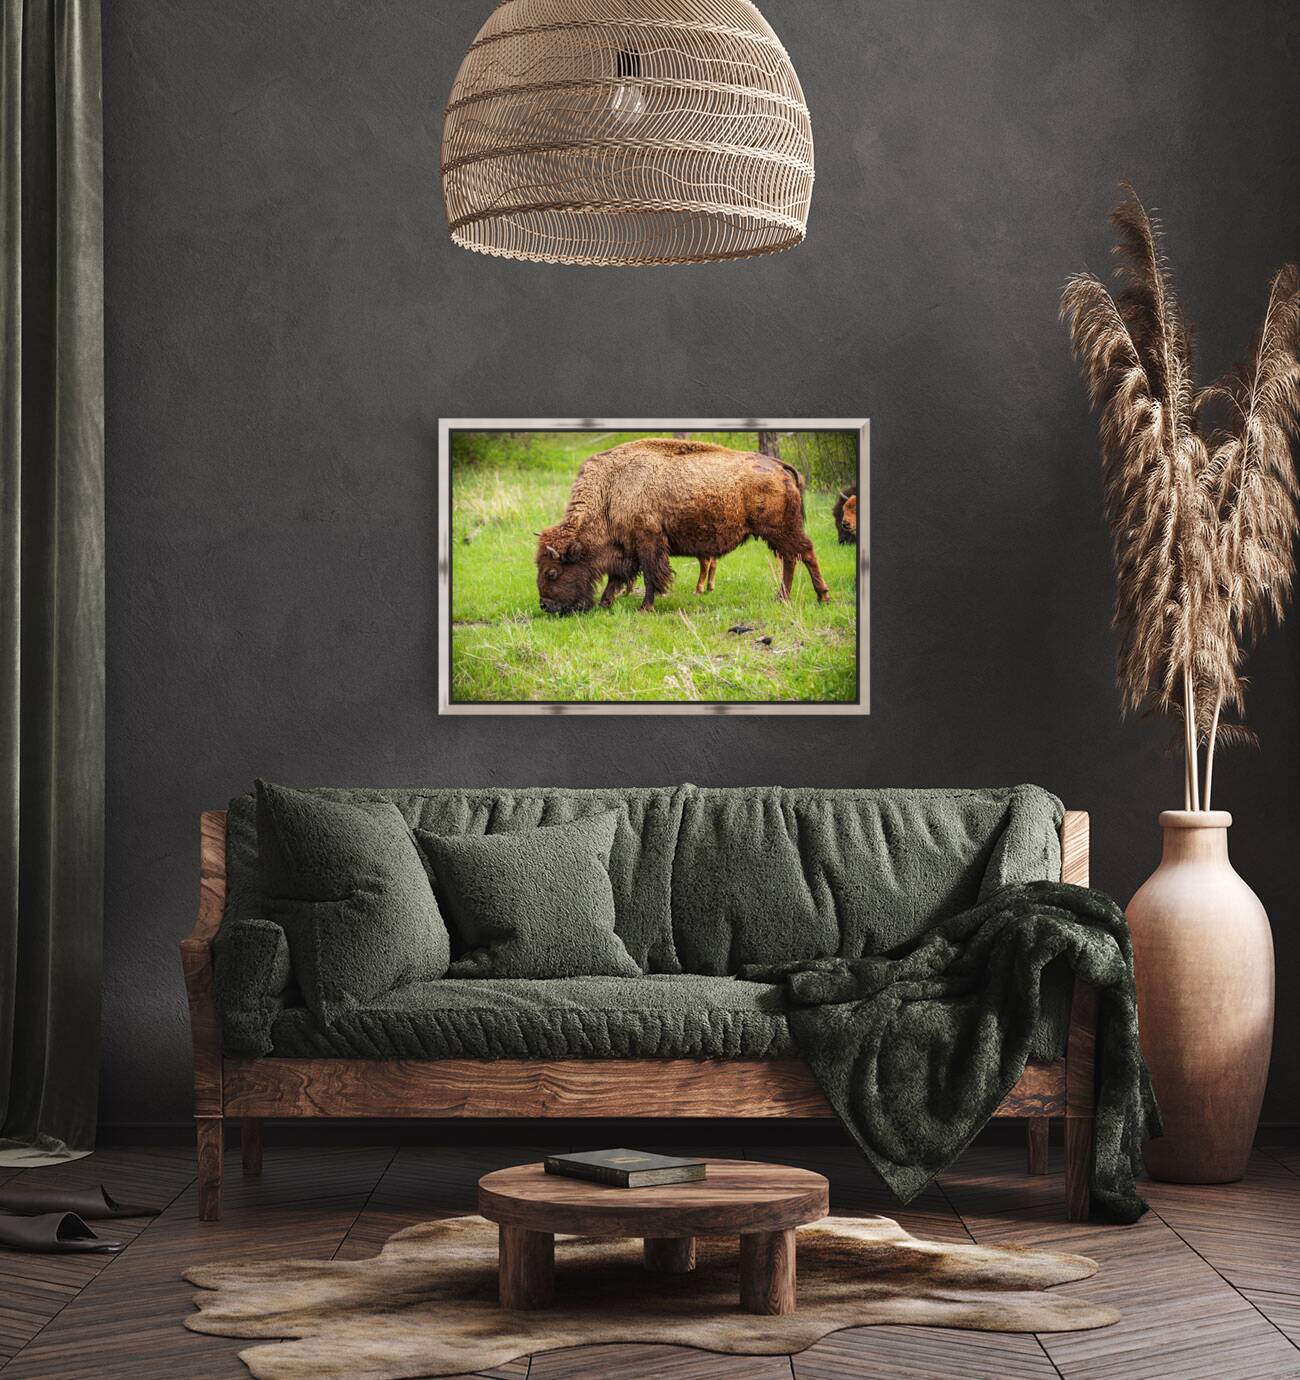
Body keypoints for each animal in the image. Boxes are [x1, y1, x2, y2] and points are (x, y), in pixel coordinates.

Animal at [536, 439, 830, 614]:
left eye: (552, 572)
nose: (545, 606)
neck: (610, 490)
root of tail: (779, 466)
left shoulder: (648, 543)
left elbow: (652, 576)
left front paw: (645, 607)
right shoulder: (628, 549)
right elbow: (618, 577)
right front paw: (606, 602)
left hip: (781, 530)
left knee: (806, 552)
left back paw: (821, 597)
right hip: (779, 533)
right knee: (792, 558)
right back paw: (782, 598)